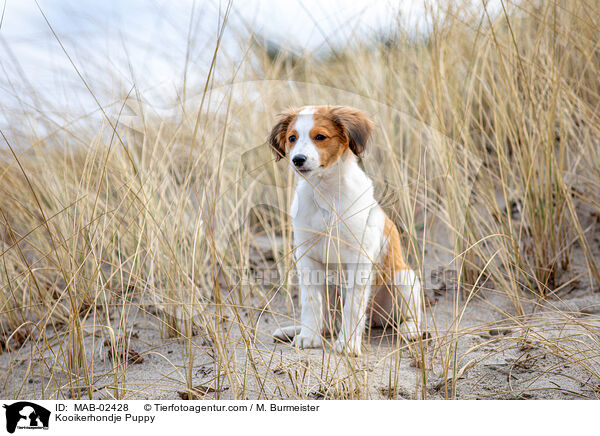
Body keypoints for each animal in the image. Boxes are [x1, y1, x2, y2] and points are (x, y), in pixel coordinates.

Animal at [270, 105, 424, 354]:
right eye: (292, 138)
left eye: (320, 136)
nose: (297, 160)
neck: (325, 194)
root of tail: (375, 318)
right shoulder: (307, 258)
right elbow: (310, 302)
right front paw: (308, 336)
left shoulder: (358, 259)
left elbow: (352, 306)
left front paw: (348, 344)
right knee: (328, 322)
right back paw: (295, 330)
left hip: (404, 279)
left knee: (410, 317)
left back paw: (409, 329)